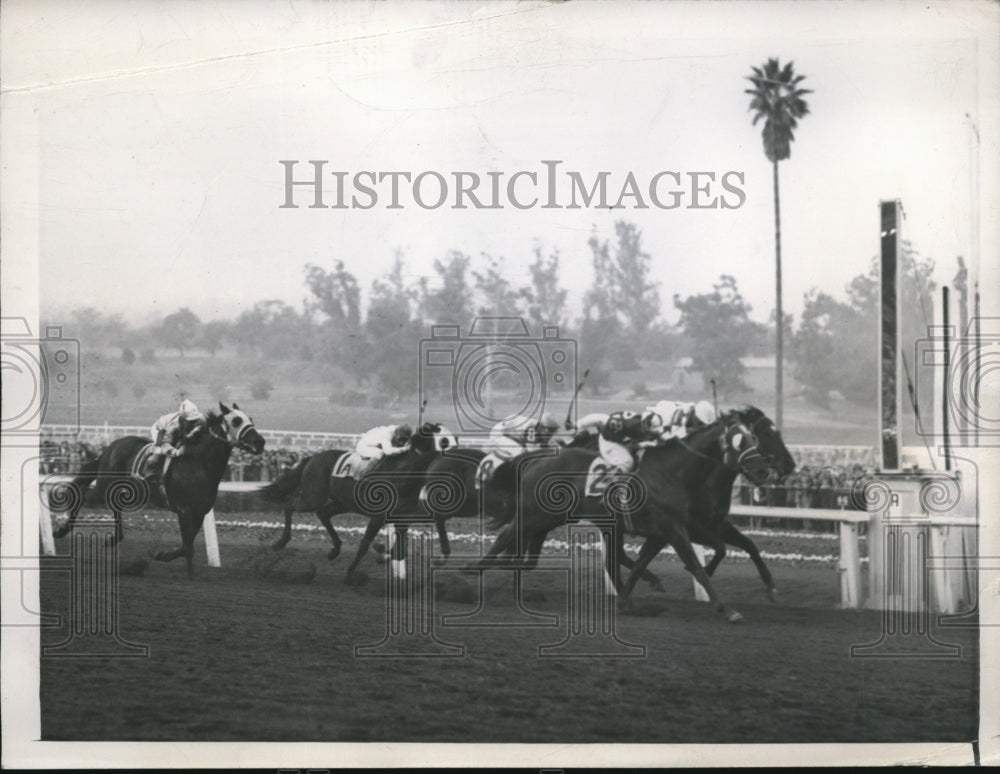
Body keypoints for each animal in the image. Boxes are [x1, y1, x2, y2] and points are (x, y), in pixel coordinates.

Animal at [53, 404, 266, 580]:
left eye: (251, 419)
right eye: (236, 421)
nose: (260, 442)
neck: (199, 464)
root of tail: (111, 446)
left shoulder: (199, 513)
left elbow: (186, 546)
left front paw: (166, 558)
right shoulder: (185, 511)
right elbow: (187, 546)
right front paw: (183, 569)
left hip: (129, 493)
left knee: (113, 505)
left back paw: (114, 538)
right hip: (104, 486)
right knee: (83, 494)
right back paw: (62, 530)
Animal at [474, 412, 772, 624]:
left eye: (754, 439)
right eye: (739, 440)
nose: (763, 470)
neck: (674, 473)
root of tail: (537, 458)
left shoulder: (666, 531)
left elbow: (642, 563)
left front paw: (626, 601)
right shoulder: (675, 528)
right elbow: (695, 564)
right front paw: (726, 608)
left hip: (554, 518)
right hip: (535, 514)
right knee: (506, 537)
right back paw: (472, 574)